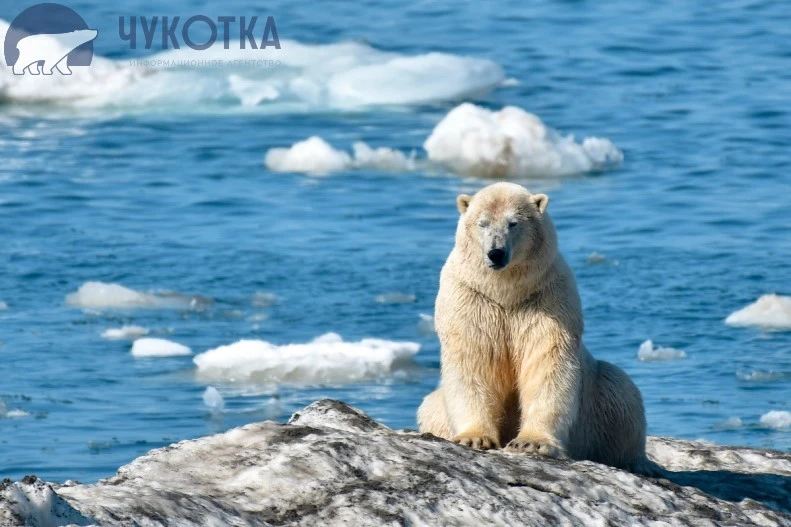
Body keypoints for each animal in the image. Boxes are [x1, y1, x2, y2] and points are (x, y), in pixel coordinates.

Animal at [417, 182, 660, 476]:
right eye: (482, 223)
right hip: (435, 407)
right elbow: (473, 360)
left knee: (621, 390)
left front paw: (530, 443)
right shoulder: (471, 299)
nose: (496, 253)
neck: (506, 292)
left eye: (513, 223)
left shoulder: (547, 297)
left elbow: (547, 362)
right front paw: (474, 437)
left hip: (598, 400)